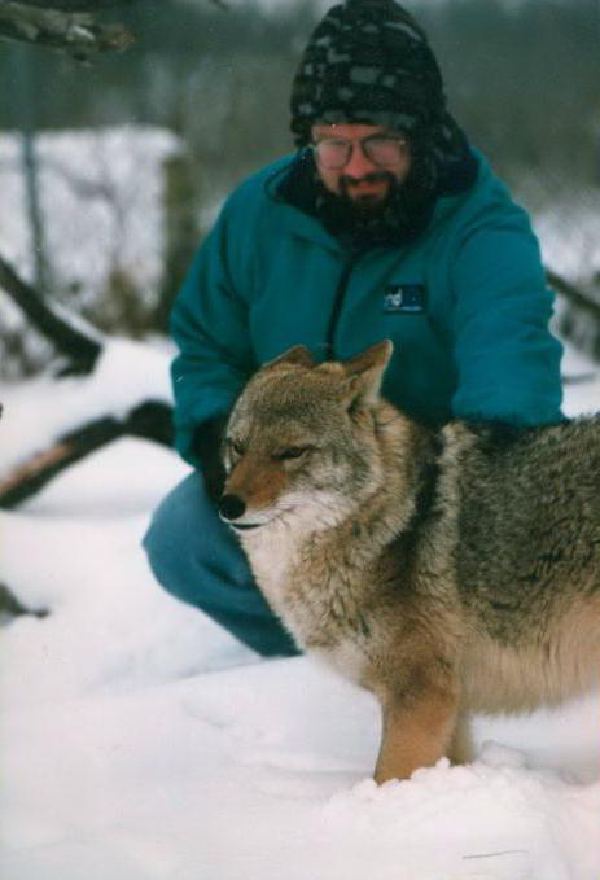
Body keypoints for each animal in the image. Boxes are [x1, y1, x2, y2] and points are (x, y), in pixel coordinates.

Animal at [218, 341, 600, 783]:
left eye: (291, 452)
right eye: (238, 446)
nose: (228, 505)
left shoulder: (420, 695)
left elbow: (388, 777)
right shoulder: (450, 709)